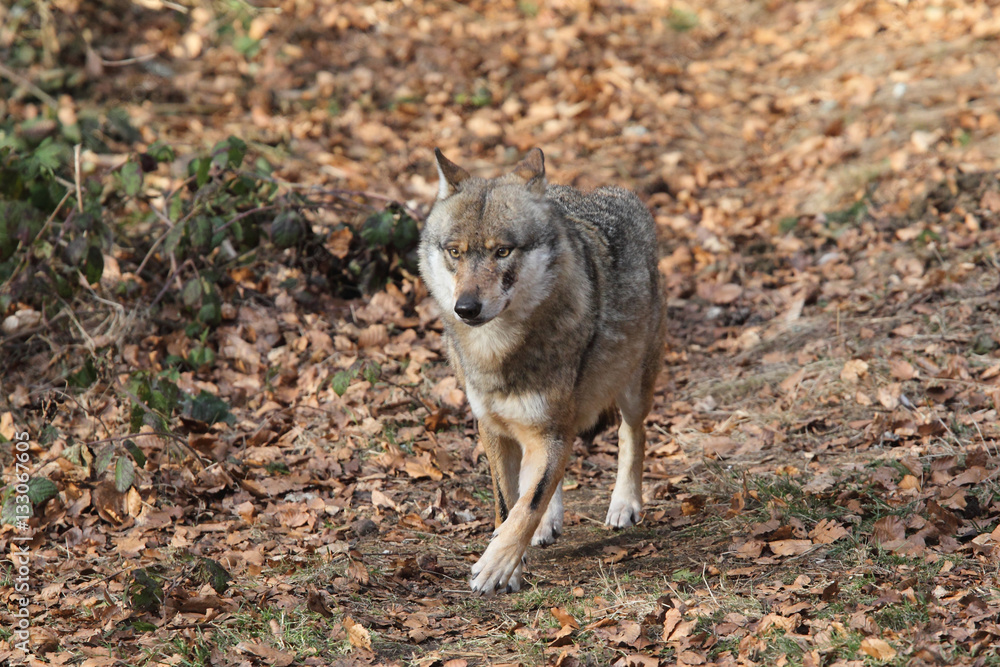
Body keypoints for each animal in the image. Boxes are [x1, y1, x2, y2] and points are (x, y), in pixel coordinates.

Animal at [418, 148, 665, 594]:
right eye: (455, 252)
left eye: (503, 251)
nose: (466, 308)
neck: (498, 351)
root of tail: (612, 192)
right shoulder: (494, 428)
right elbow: (509, 503)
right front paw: (511, 564)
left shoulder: (549, 429)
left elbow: (527, 505)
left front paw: (496, 566)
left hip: (633, 391)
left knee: (631, 433)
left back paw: (624, 504)